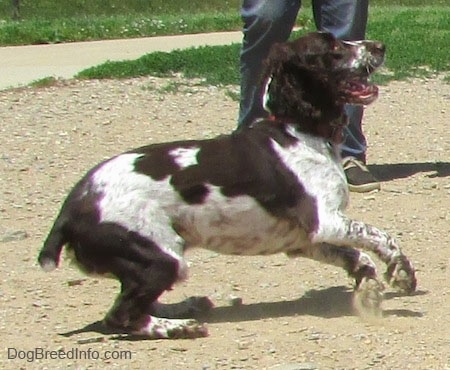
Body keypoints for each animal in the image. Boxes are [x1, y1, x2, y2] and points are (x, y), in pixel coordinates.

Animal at [37, 31, 416, 338]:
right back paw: (179, 327)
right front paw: (401, 272)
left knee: (136, 303)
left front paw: (369, 291)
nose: (380, 46)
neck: (296, 129)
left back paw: (183, 307)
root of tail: (69, 210)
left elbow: (358, 256)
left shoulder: (306, 240)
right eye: (333, 47)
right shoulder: (325, 220)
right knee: (120, 316)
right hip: (157, 256)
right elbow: (381, 236)